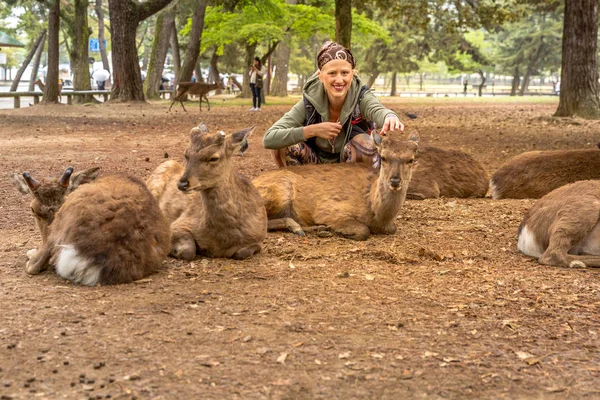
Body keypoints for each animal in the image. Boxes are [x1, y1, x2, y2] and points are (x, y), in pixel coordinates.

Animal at [145, 122, 268, 260]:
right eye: (186, 154)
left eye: (214, 158)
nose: (182, 184)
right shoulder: (179, 223)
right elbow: (188, 251)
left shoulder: (259, 238)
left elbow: (242, 253)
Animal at [253, 132, 422, 241]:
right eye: (383, 157)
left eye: (411, 159)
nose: (395, 180)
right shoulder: (329, 210)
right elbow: (363, 230)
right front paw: (340, 232)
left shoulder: (390, 226)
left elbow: (393, 228)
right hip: (279, 192)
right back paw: (301, 227)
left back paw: (315, 229)